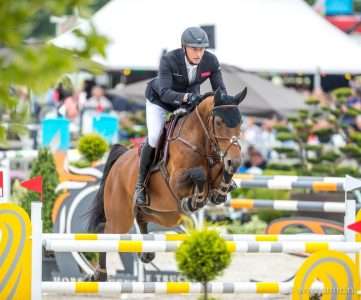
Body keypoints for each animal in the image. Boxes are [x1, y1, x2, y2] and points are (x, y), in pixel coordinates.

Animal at [88, 88, 245, 280]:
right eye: (219, 122)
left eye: (240, 122)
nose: (235, 161)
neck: (200, 143)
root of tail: (121, 159)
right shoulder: (175, 181)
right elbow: (199, 174)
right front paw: (194, 200)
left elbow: (221, 176)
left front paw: (222, 189)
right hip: (120, 217)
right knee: (106, 231)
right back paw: (100, 274)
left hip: (162, 214)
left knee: (142, 218)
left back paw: (146, 254)